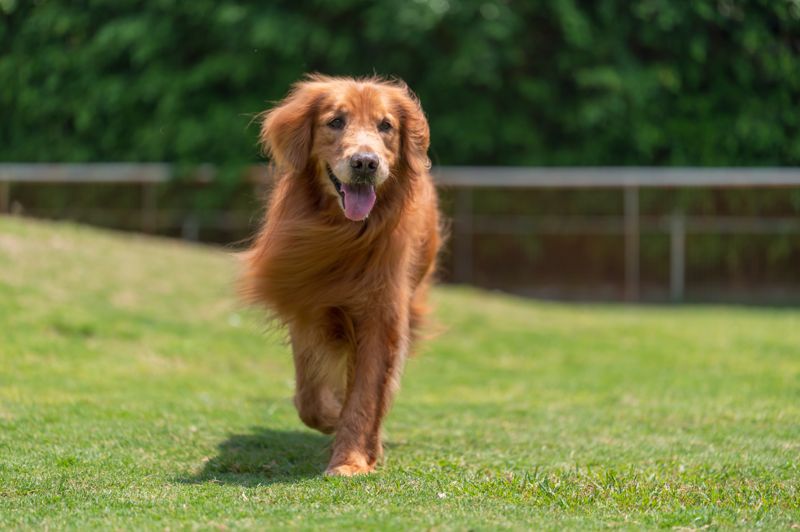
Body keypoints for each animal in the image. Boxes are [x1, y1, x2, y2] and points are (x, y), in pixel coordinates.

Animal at [244, 74, 444, 474]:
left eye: (386, 126)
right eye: (336, 121)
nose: (365, 163)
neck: (343, 234)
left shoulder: (381, 316)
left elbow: (366, 395)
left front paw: (351, 460)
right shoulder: (306, 303)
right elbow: (309, 394)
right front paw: (331, 417)